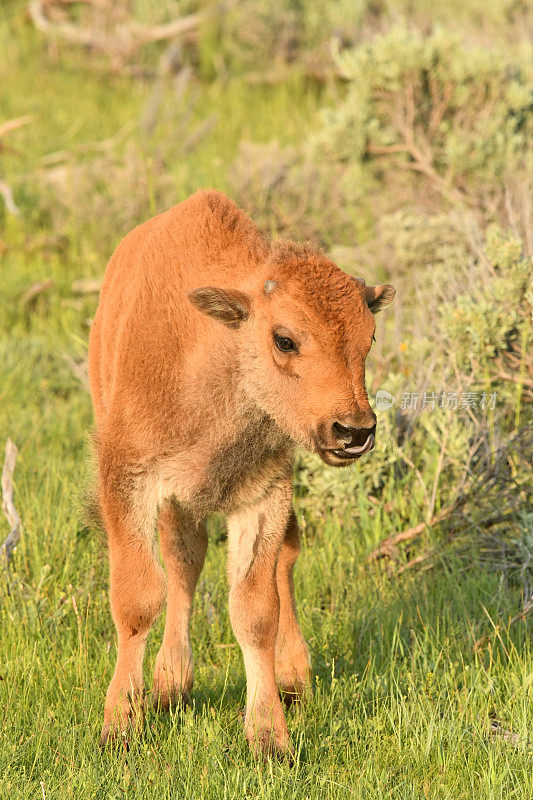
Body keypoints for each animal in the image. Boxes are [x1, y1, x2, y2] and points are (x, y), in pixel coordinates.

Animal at [88, 189, 394, 756]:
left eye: (369, 338)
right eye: (285, 339)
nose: (354, 430)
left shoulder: (264, 496)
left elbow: (255, 611)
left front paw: (271, 737)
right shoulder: (130, 480)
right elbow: (138, 599)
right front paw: (119, 727)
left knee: (277, 558)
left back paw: (290, 678)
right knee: (182, 566)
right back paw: (170, 686)